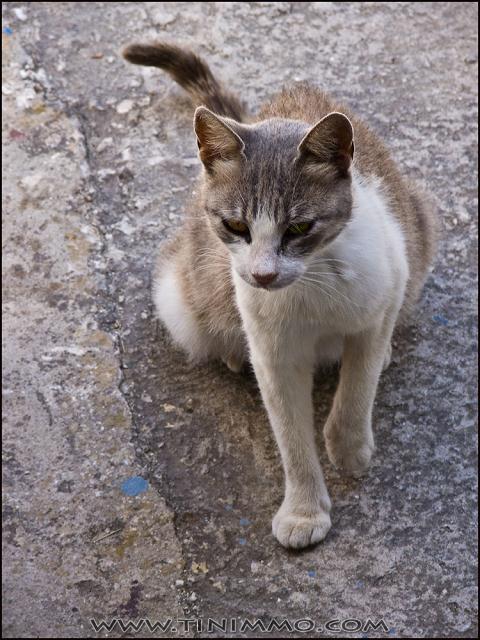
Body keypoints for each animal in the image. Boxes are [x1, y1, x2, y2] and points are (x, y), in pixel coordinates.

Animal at [122, 41, 436, 552]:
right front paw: (304, 510)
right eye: (235, 225)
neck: (311, 285)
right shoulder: (273, 353)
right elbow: (290, 434)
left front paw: (348, 446)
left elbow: (358, 385)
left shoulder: (384, 291)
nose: (263, 274)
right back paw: (231, 353)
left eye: (300, 228)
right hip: (179, 295)